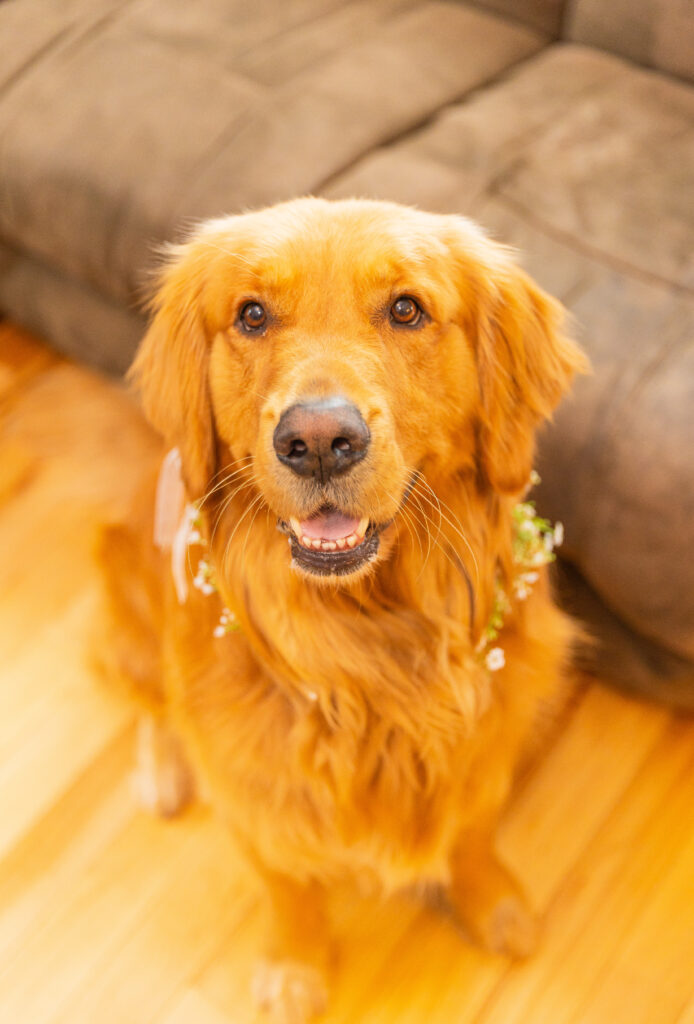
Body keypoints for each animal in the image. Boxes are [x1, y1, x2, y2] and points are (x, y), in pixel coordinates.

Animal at [97, 195, 585, 1019]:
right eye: (252, 315)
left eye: (406, 309)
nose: (320, 440)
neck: (368, 645)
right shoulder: (254, 794)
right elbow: (288, 885)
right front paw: (296, 968)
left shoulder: (486, 740)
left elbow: (473, 832)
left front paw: (494, 904)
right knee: (153, 705)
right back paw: (161, 773)